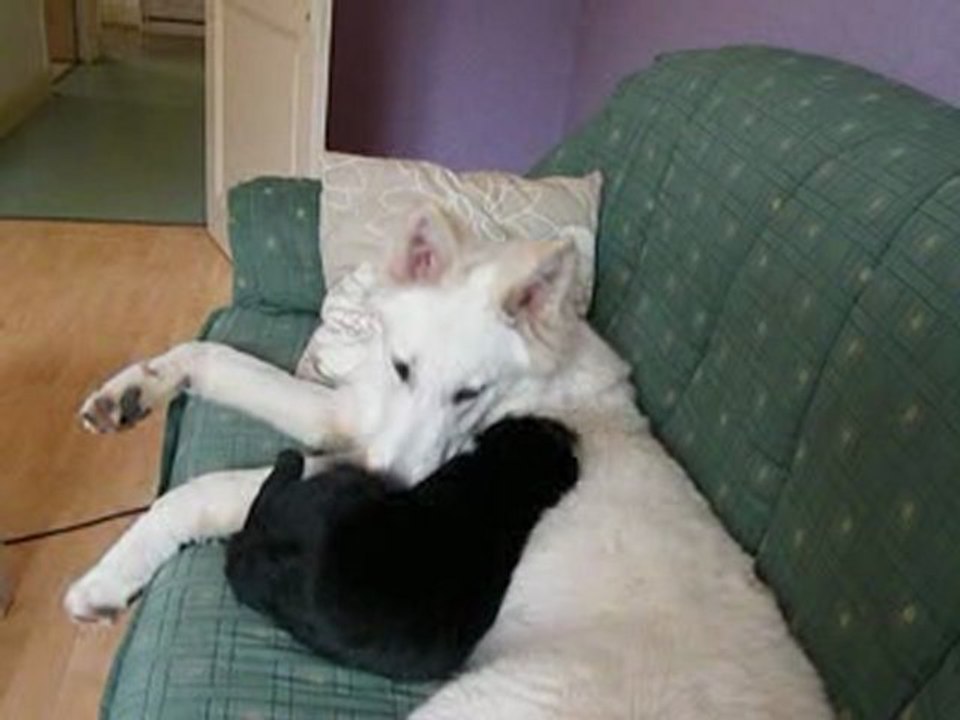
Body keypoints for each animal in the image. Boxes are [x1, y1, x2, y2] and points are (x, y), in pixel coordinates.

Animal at [65, 206, 831, 718]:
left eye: (469, 393)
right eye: (404, 368)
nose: (380, 489)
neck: (536, 399)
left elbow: (195, 492)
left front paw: (108, 576)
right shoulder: (357, 414)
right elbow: (214, 356)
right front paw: (132, 390)